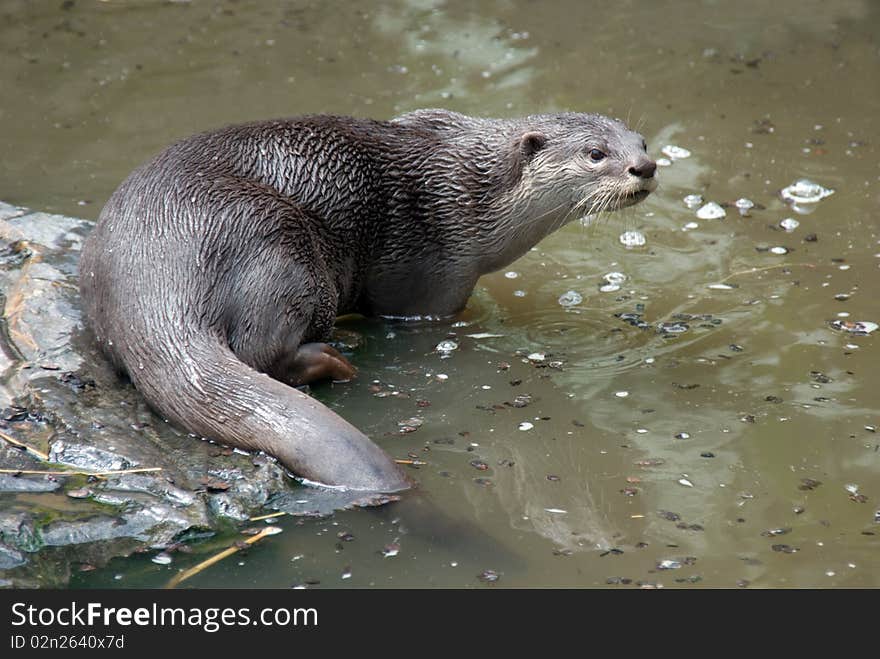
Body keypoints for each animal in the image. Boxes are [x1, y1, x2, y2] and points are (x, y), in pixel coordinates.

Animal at [79, 108, 656, 492]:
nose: (645, 168)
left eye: (643, 141)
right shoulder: (435, 274)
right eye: (596, 154)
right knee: (262, 351)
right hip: (283, 251)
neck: (472, 200)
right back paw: (334, 357)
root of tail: (157, 280)